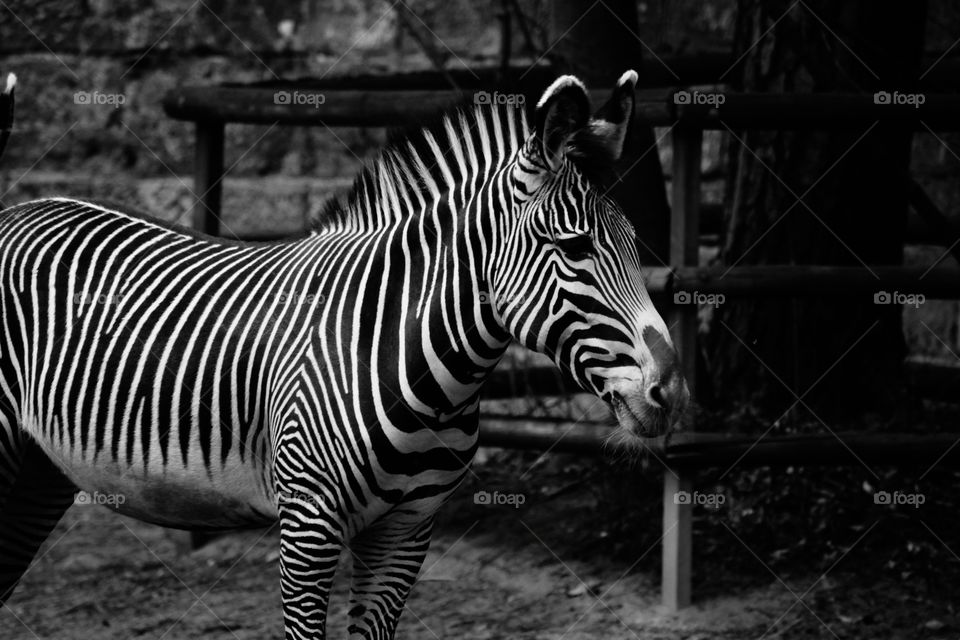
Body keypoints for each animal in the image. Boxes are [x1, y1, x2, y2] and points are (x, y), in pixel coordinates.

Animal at [0, 70, 688, 639]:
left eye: (636, 244)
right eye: (574, 247)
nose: (670, 392)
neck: (419, 372)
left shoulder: (408, 531)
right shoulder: (308, 524)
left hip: (39, 471)